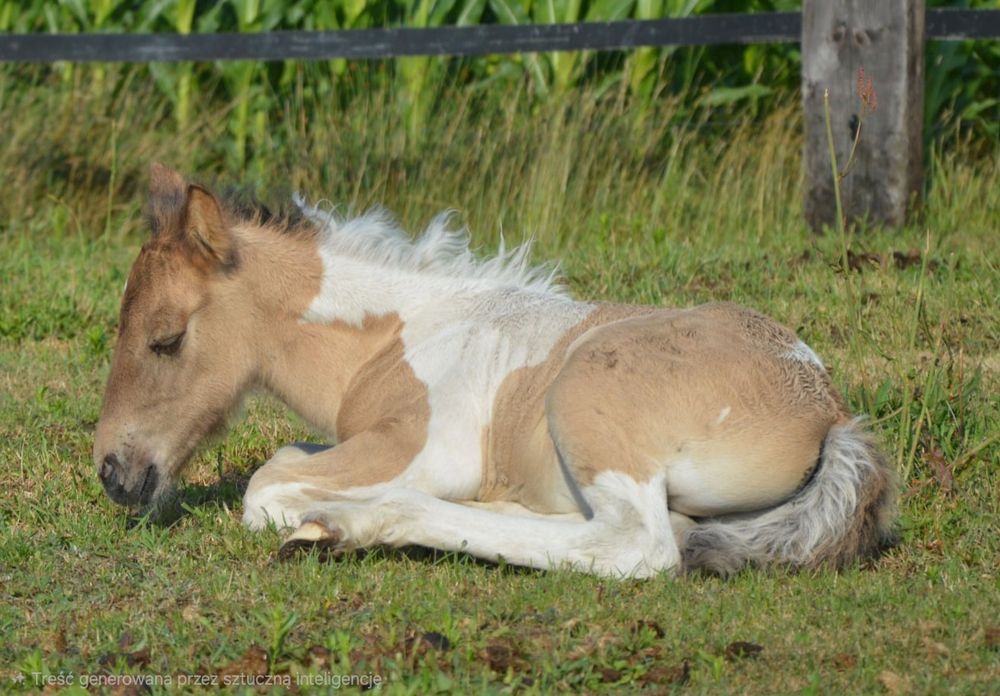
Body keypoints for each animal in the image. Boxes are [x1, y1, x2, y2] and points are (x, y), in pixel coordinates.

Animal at [93, 163, 897, 578]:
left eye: (165, 339)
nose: (114, 473)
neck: (397, 337)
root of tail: (828, 410)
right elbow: (288, 456)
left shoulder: (427, 448)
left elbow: (264, 487)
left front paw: (320, 514)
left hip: (587, 399)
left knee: (635, 544)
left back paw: (353, 524)